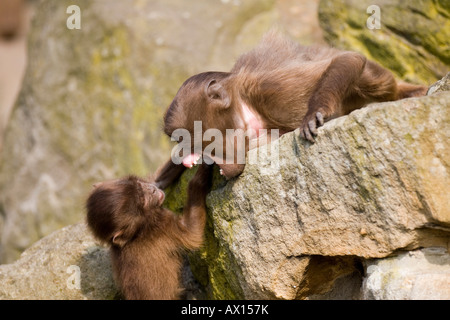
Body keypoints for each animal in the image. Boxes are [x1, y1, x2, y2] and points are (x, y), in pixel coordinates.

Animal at [86, 162, 213, 300]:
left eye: (140, 186)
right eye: (144, 201)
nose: (151, 190)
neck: (136, 234)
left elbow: (158, 181)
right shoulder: (162, 226)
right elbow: (192, 234)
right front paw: (200, 178)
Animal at [156, 30, 428, 188]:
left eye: (195, 139)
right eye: (182, 141)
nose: (187, 153)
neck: (246, 114)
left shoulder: (272, 92)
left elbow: (348, 59)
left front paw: (314, 113)